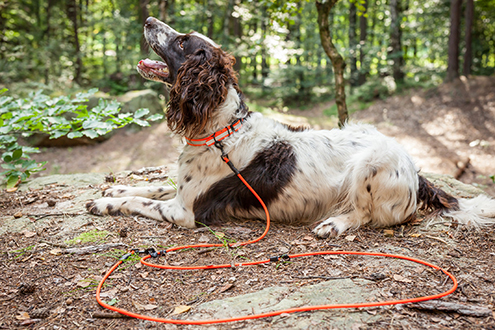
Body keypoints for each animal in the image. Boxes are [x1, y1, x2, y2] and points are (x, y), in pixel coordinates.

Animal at [85, 16, 495, 237]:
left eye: (183, 42)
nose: (148, 20)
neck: (220, 128)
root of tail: (415, 170)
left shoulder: (185, 211)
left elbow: (139, 200)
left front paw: (107, 202)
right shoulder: (181, 190)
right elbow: (152, 184)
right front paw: (116, 187)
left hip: (371, 165)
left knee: (367, 215)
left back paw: (334, 224)